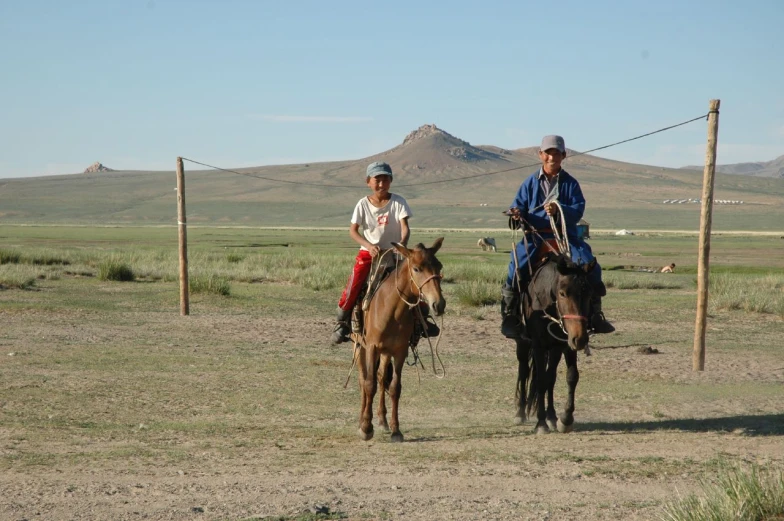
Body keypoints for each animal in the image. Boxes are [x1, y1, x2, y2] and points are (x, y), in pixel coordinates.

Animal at [352, 238, 444, 440]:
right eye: (416, 268)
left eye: (439, 266)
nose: (439, 304)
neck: (391, 308)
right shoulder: (371, 347)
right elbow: (369, 384)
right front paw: (366, 427)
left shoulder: (400, 351)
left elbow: (394, 387)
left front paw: (395, 429)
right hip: (359, 346)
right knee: (363, 379)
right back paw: (361, 419)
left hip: (386, 352)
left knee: (380, 377)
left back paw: (382, 421)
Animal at [516, 252, 596, 434]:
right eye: (563, 293)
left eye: (589, 293)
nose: (581, 338)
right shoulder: (538, 345)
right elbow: (540, 380)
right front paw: (541, 423)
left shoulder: (564, 345)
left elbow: (569, 377)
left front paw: (564, 419)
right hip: (522, 343)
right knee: (524, 370)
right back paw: (520, 412)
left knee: (549, 377)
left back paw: (551, 416)